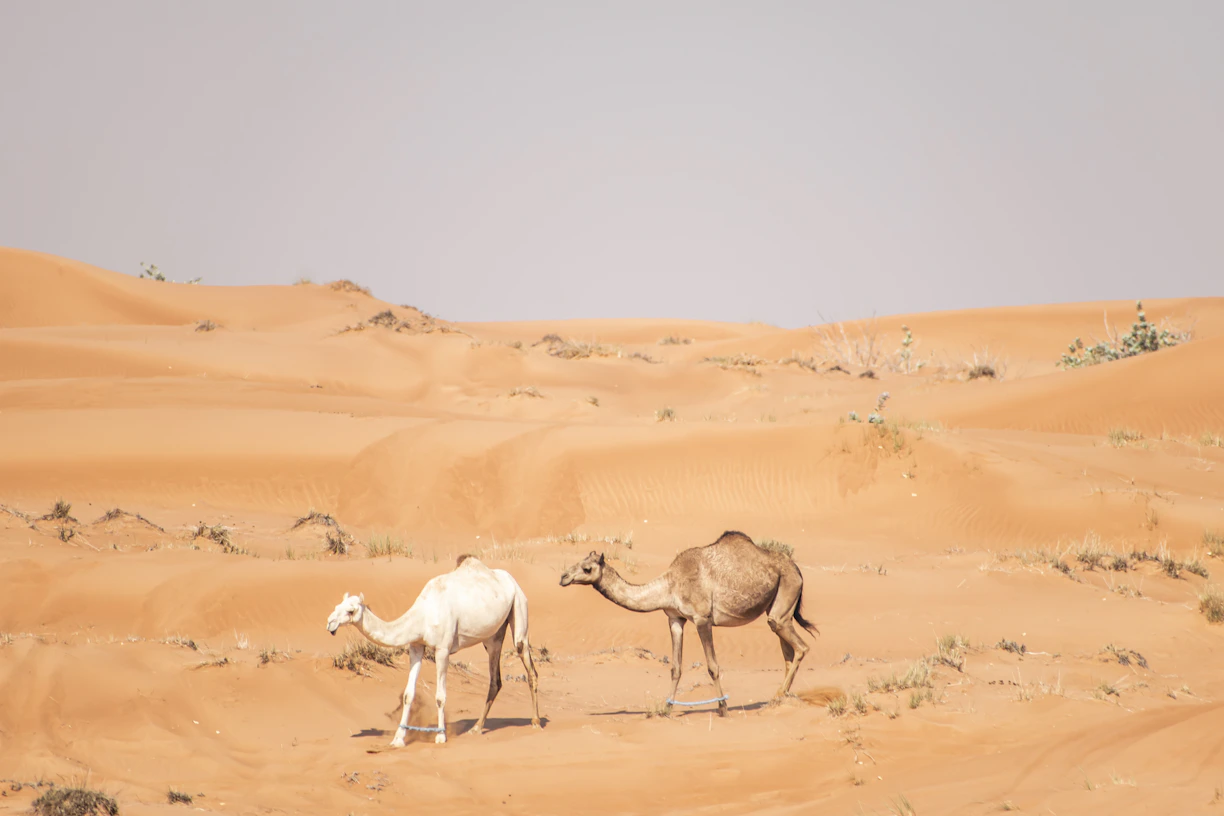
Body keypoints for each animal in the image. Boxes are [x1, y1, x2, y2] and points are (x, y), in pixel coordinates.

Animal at [326, 554, 541, 745]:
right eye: (336, 606)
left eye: (350, 611)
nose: (330, 624)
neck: (423, 615)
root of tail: (511, 580)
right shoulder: (416, 646)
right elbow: (408, 695)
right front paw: (398, 739)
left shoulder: (443, 649)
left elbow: (440, 696)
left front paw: (440, 736)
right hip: (492, 637)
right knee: (495, 679)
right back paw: (477, 727)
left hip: (519, 607)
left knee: (528, 662)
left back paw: (536, 722)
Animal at [559, 530, 817, 715]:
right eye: (578, 562)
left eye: (586, 568)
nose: (563, 577)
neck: (669, 586)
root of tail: (797, 569)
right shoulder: (675, 618)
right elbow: (675, 667)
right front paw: (666, 708)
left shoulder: (702, 619)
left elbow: (712, 666)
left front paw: (722, 708)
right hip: (777, 607)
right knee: (788, 651)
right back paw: (780, 698)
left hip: (786, 593)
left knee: (801, 647)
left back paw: (777, 696)